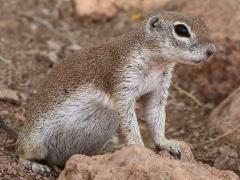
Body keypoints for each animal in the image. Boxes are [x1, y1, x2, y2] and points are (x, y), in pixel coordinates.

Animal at [16, 11, 216, 176]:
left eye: (204, 23)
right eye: (181, 30)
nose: (211, 51)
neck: (157, 64)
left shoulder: (159, 90)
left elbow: (156, 116)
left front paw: (166, 143)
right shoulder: (123, 82)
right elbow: (129, 121)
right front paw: (140, 148)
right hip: (35, 138)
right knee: (20, 153)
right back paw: (36, 165)